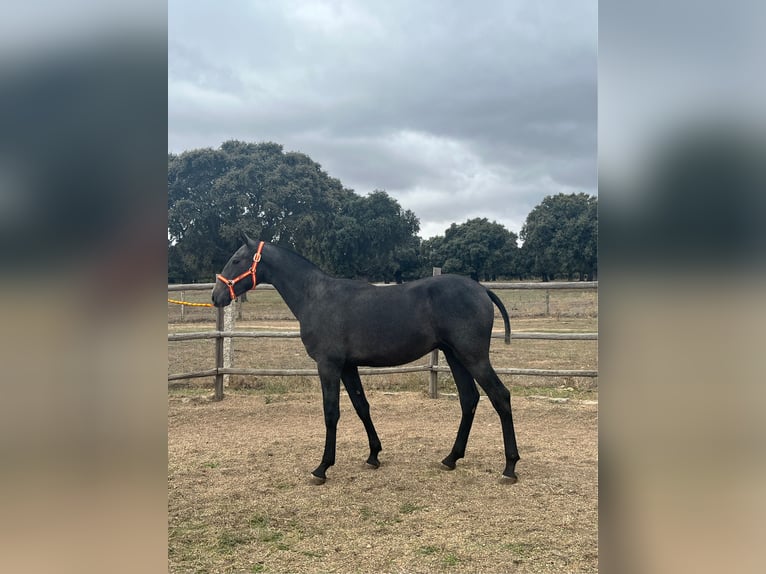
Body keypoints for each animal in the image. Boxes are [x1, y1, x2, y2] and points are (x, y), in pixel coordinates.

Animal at [212, 233, 520, 484]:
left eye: (236, 260)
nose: (216, 296)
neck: (316, 296)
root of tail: (481, 289)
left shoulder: (329, 365)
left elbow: (331, 412)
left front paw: (322, 467)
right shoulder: (348, 367)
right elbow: (362, 407)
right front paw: (373, 455)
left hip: (474, 357)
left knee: (500, 396)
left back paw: (509, 467)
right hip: (455, 356)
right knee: (469, 399)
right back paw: (451, 458)